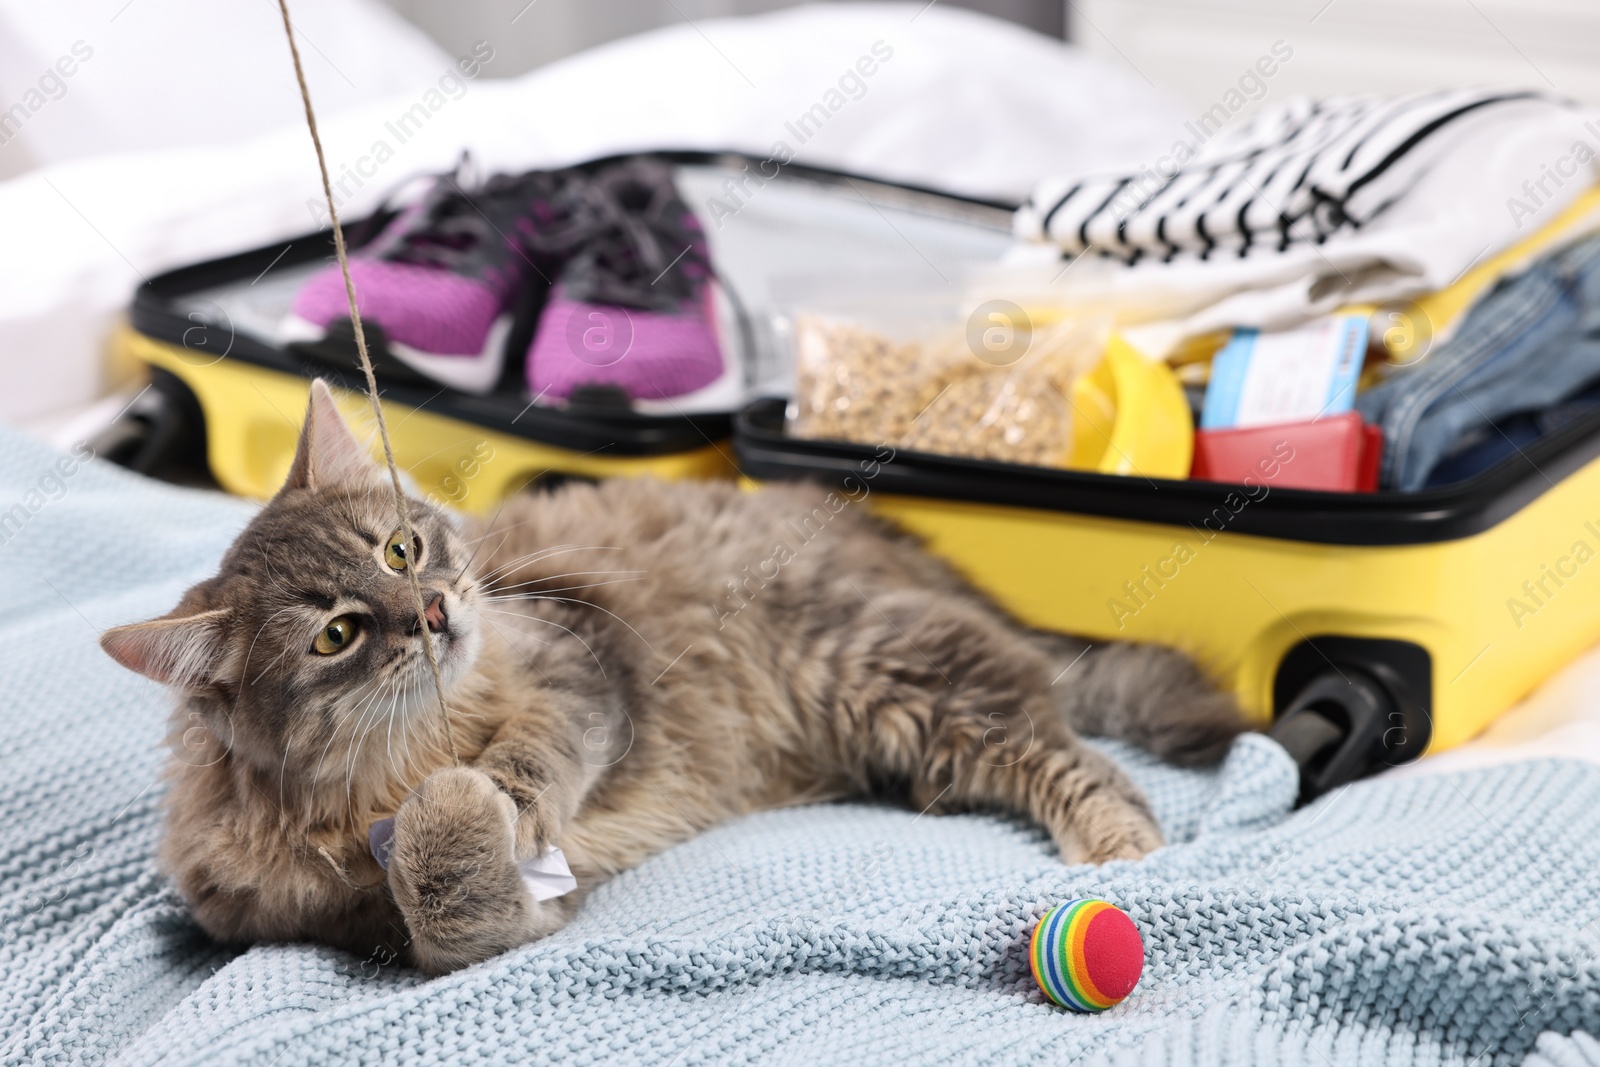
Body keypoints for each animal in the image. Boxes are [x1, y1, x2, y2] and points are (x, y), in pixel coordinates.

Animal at [100, 383, 1241, 979]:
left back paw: (1124, 849)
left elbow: (528, 760)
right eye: (337, 634)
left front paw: (489, 797)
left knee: (1077, 757)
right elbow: (445, 908)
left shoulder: (578, 658)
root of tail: (894, 539)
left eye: (398, 548)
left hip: (889, 668)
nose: (432, 610)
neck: (396, 761)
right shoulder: (382, 927)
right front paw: (457, 830)